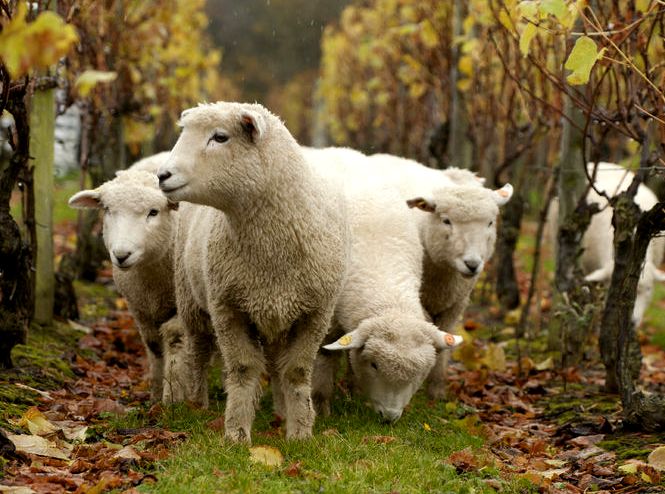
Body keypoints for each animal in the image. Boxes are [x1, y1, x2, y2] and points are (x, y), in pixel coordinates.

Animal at [68, 154, 184, 401]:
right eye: (108, 210)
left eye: (153, 212)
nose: (121, 255)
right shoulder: (140, 307)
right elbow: (154, 345)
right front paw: (156, 394)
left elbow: (175, 340)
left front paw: (174, 399)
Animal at [156, 102, 348, 443]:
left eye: (220, 137)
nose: (162, 175)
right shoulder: (228, 310)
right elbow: (243, 369)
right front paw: (236, 434)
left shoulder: (315, 314)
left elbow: (296, 371)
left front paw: (300, 433)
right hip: (193, 302)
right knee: (198, 353)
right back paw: (197, 404)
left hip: (275, 316)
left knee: (275, 364)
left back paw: (281, 412)